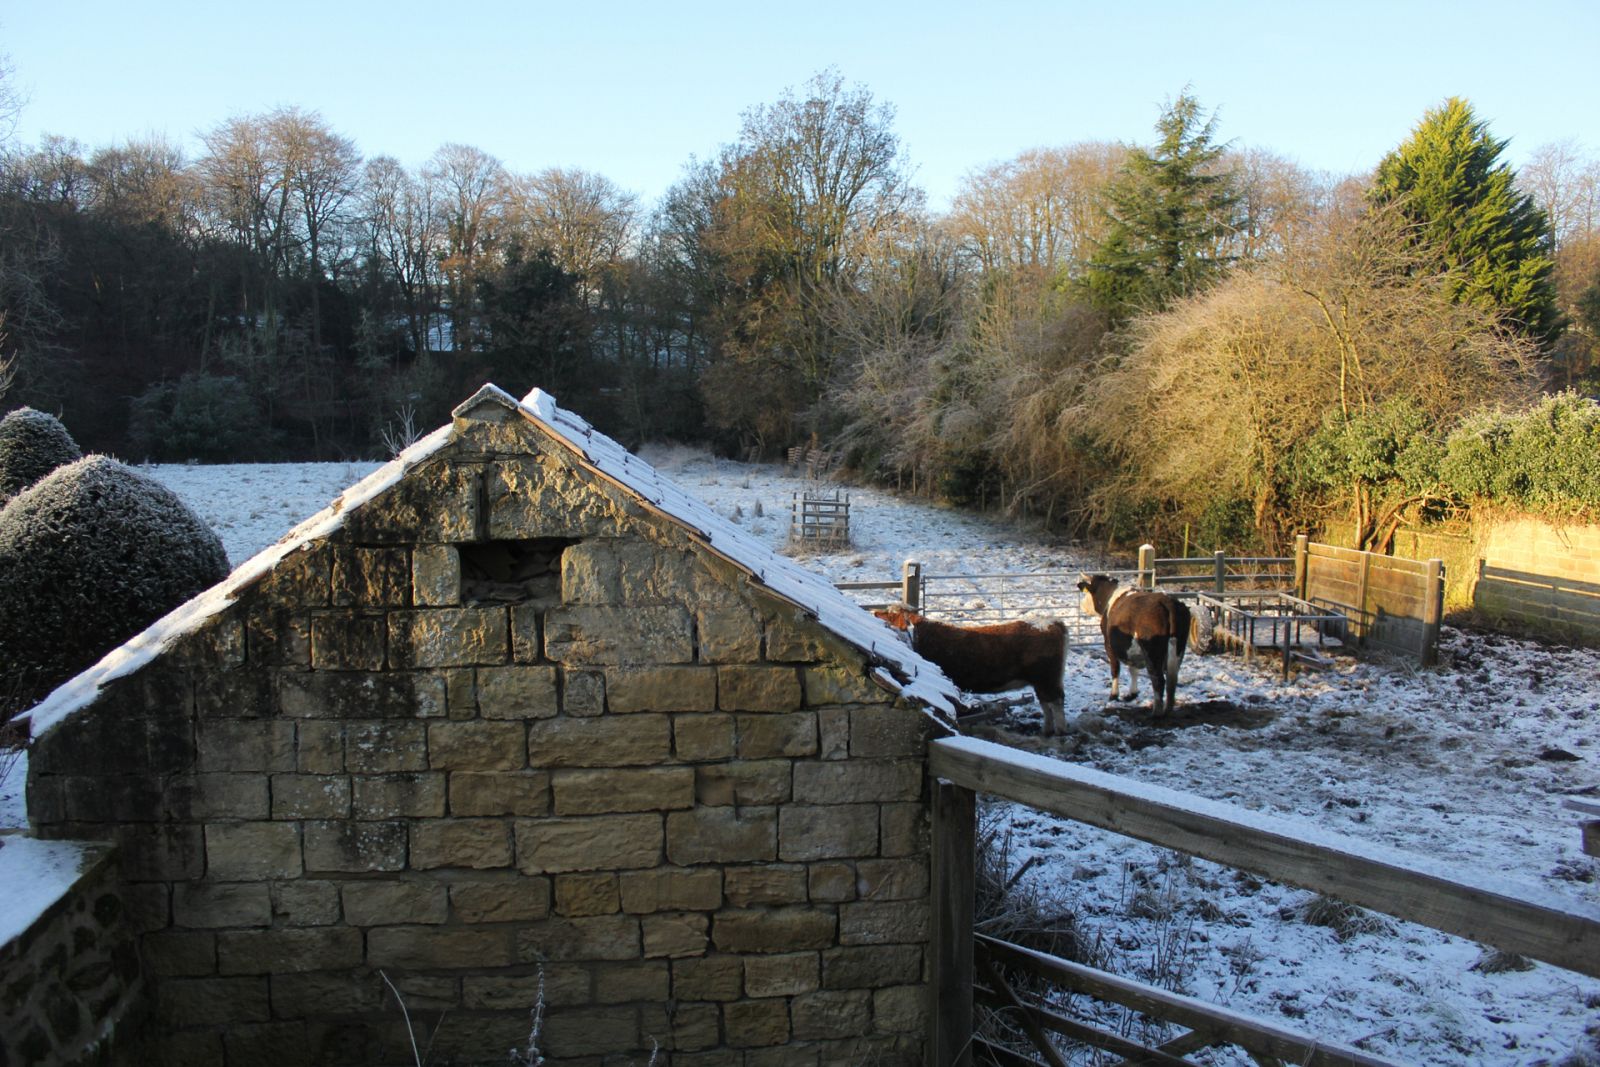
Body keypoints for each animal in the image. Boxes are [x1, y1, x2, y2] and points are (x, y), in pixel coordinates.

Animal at [870, 607, 1068, 735]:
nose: (874, 613)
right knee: (1046, 704)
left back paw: (1059, 732)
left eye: (889, 617)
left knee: (1055, 703)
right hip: (1042, 682)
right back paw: (1046, 730)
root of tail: (1051, 622)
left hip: (1047, 680)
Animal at [1075, 575, 1190, 716]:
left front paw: (1114, 695)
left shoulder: (1109, 645)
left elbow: (1115, 669)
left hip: (1152, 652)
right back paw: (1167, 710)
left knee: (1158, 679)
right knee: (1171, 679)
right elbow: (1133, 669)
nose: (1082, 605)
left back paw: (1156, 713)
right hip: (1179, 649)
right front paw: (1132, 694)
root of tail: (1168, 603)